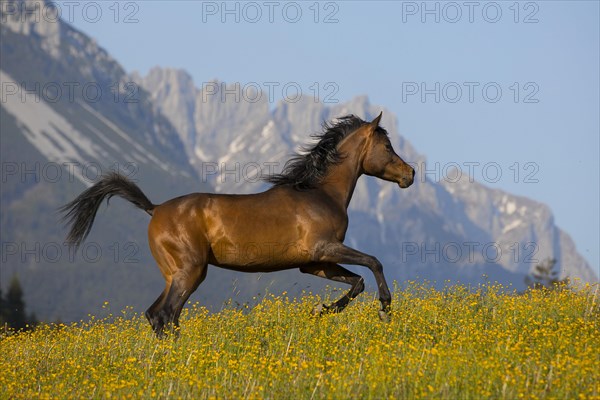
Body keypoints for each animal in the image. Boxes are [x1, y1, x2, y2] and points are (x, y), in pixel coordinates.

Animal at [63, 114, 414, 336]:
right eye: (387, 147)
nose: (409, 174)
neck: (320, 193)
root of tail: (155, 209)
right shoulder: (326, 249)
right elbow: (374, 263)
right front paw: (384, 307)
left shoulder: (315, 263)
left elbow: (357, 283)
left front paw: (321, 309)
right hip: (191, 271)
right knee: (166, 315)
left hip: (174, 273)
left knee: (157, 315)